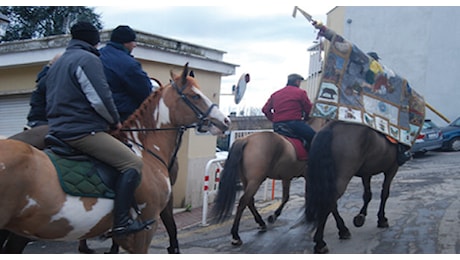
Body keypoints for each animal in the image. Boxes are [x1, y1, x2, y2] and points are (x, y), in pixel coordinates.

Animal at [211, 118, 338, 246]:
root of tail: (245, 139)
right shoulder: (308, 176)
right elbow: (310, 195)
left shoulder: (287, 177)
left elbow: (286, 197)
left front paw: (274, 216)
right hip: (256, 180)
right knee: (243, 202)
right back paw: (236, 235)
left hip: (247, 180)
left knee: (249, 201)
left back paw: (261, 223)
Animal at [306, 121, 402, 254]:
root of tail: (331, 127)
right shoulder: (392, 168)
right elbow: (385, 194)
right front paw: (382, 219)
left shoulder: (367, 173)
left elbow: (367, 195)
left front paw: (360, 217)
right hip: (342, 177)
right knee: (329, 202)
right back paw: (321, 242)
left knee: (331, 203)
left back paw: (343, 230)